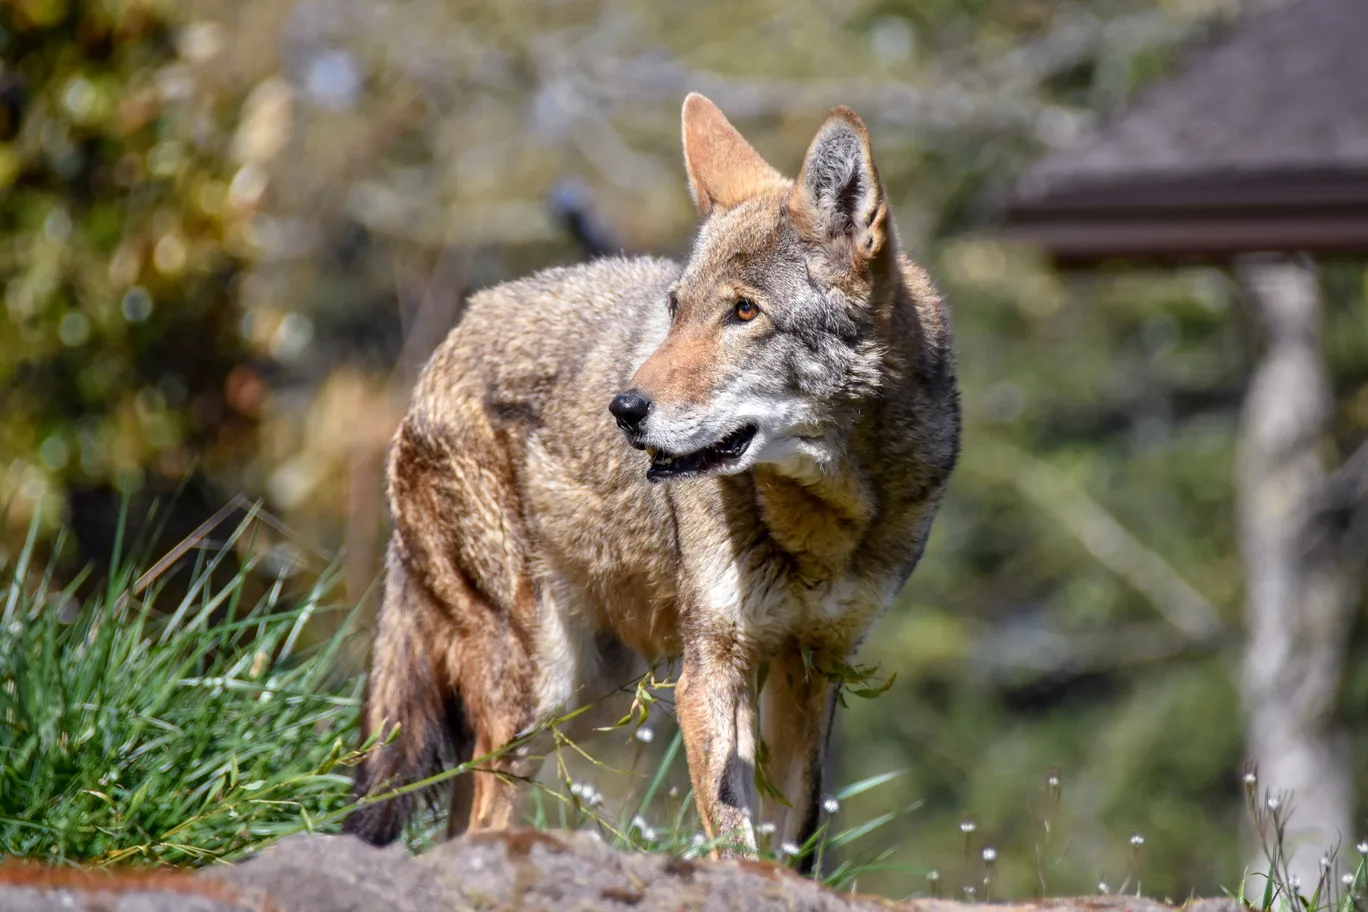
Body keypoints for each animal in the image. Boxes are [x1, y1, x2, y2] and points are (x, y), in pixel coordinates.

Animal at [342, 93, 960, 864]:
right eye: (677, 309)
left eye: (744, 311)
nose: (624, 409)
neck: (821, 523)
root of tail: (452, 338)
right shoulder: (709, 670)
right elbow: (735, 842)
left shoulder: (816, 669)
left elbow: (795, 845)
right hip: (540, 687)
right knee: (484, 820)